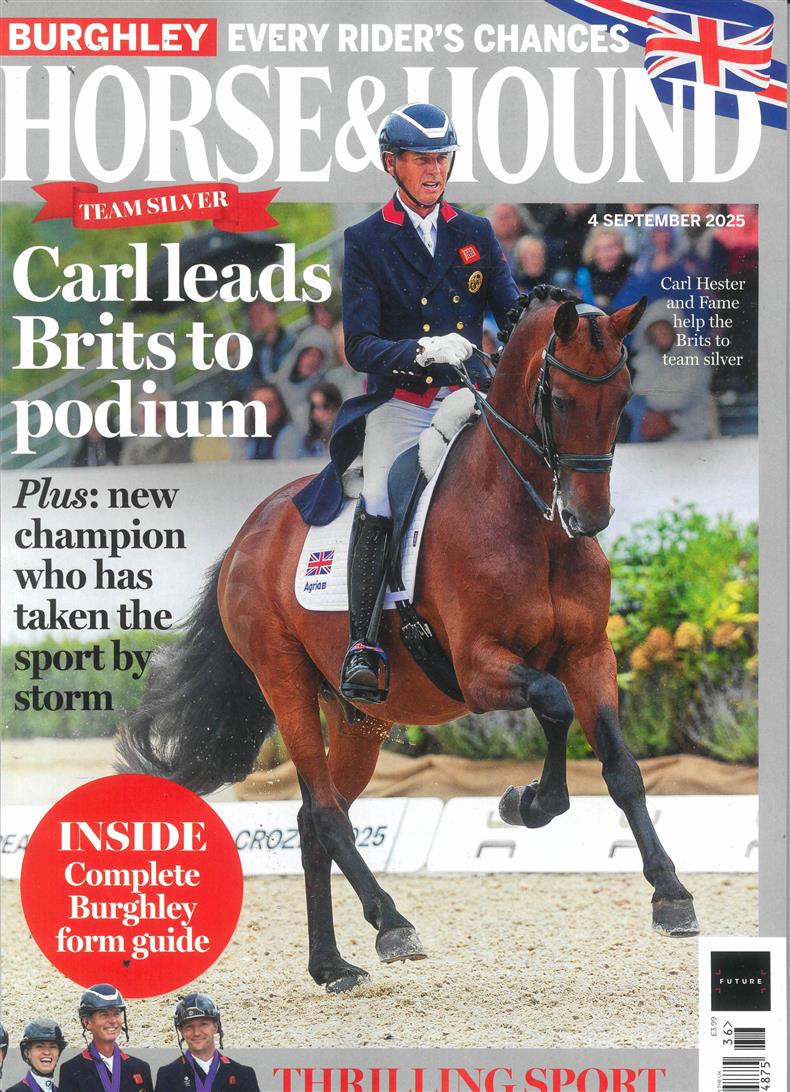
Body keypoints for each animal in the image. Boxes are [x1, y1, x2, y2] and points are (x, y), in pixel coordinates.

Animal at [118, 287, 700, 995]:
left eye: (622, 398)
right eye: (560, 400)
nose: (587, 519)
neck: (528, 522)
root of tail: (247, 534)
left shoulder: (591, 656)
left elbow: (621, 766)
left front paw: (670, 895)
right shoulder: (479, 668)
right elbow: (554, 703)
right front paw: (527, 803)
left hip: (359, 718)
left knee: (314, 818)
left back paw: (331, 964)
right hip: (285, 684)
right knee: (327, 812)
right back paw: (391, 924)